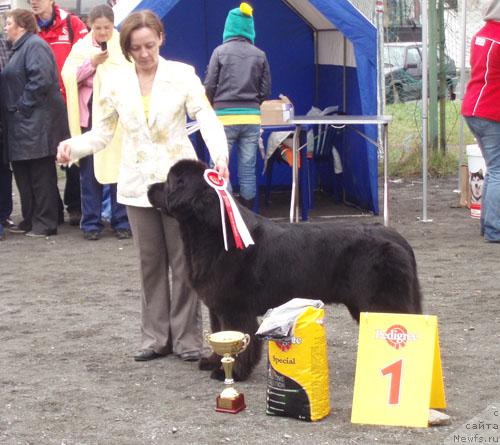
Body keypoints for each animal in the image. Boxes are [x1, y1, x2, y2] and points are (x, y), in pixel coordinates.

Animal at [148, 158, 422, 380]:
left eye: (170, 182)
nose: (149, 188)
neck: (213, 232)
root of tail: (395, 237)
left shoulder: (235, 308)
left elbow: (242, 339)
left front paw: (233, 373)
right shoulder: (217, 307)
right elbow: (220, 333)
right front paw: (213, 361)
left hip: (381, 300)